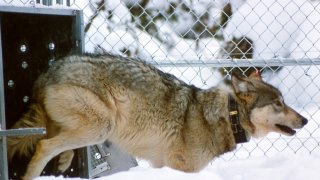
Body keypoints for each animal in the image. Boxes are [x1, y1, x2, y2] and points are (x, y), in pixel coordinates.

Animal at [7, 54, 308, 179]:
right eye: (279, 103)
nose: (305, 120)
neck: (226, 116)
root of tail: (48, 72)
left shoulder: (162, 164)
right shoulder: (181, 167)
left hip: (88, 127)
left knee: (53, 142)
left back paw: (63, 161)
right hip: (101, 126)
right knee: (43, 145)